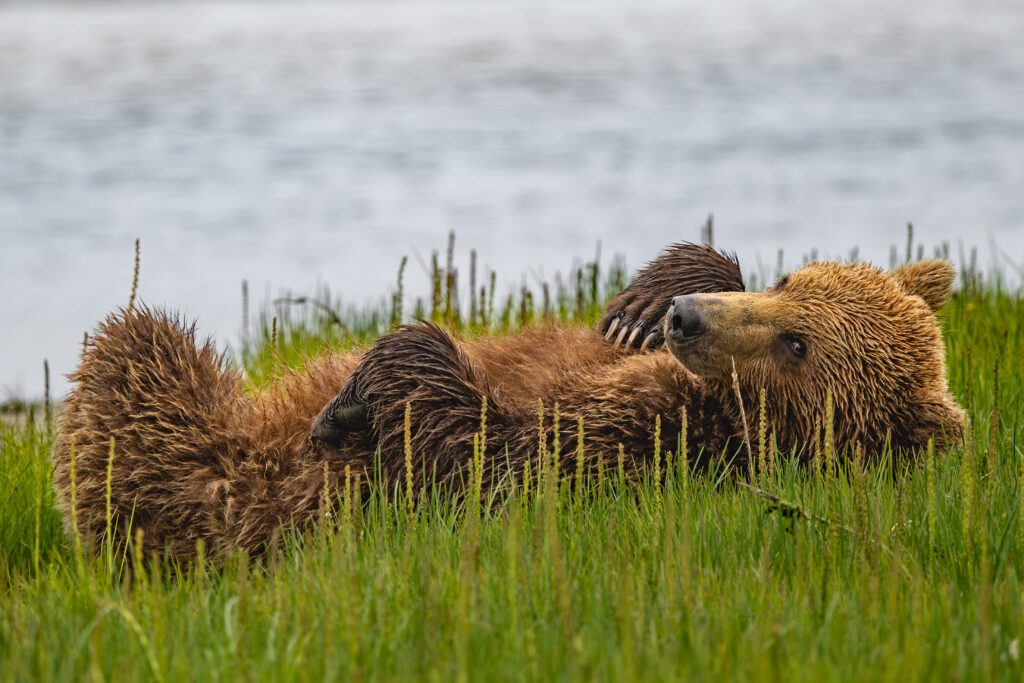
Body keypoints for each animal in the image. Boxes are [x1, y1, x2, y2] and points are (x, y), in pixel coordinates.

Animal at [51, 243, 965, 560]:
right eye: (789, 283)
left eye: (799, 346)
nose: (686, 318)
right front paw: (649, 292)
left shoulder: (643, 448)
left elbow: (493, 460)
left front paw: (361, 389)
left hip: (178, 468)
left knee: (137, 358)